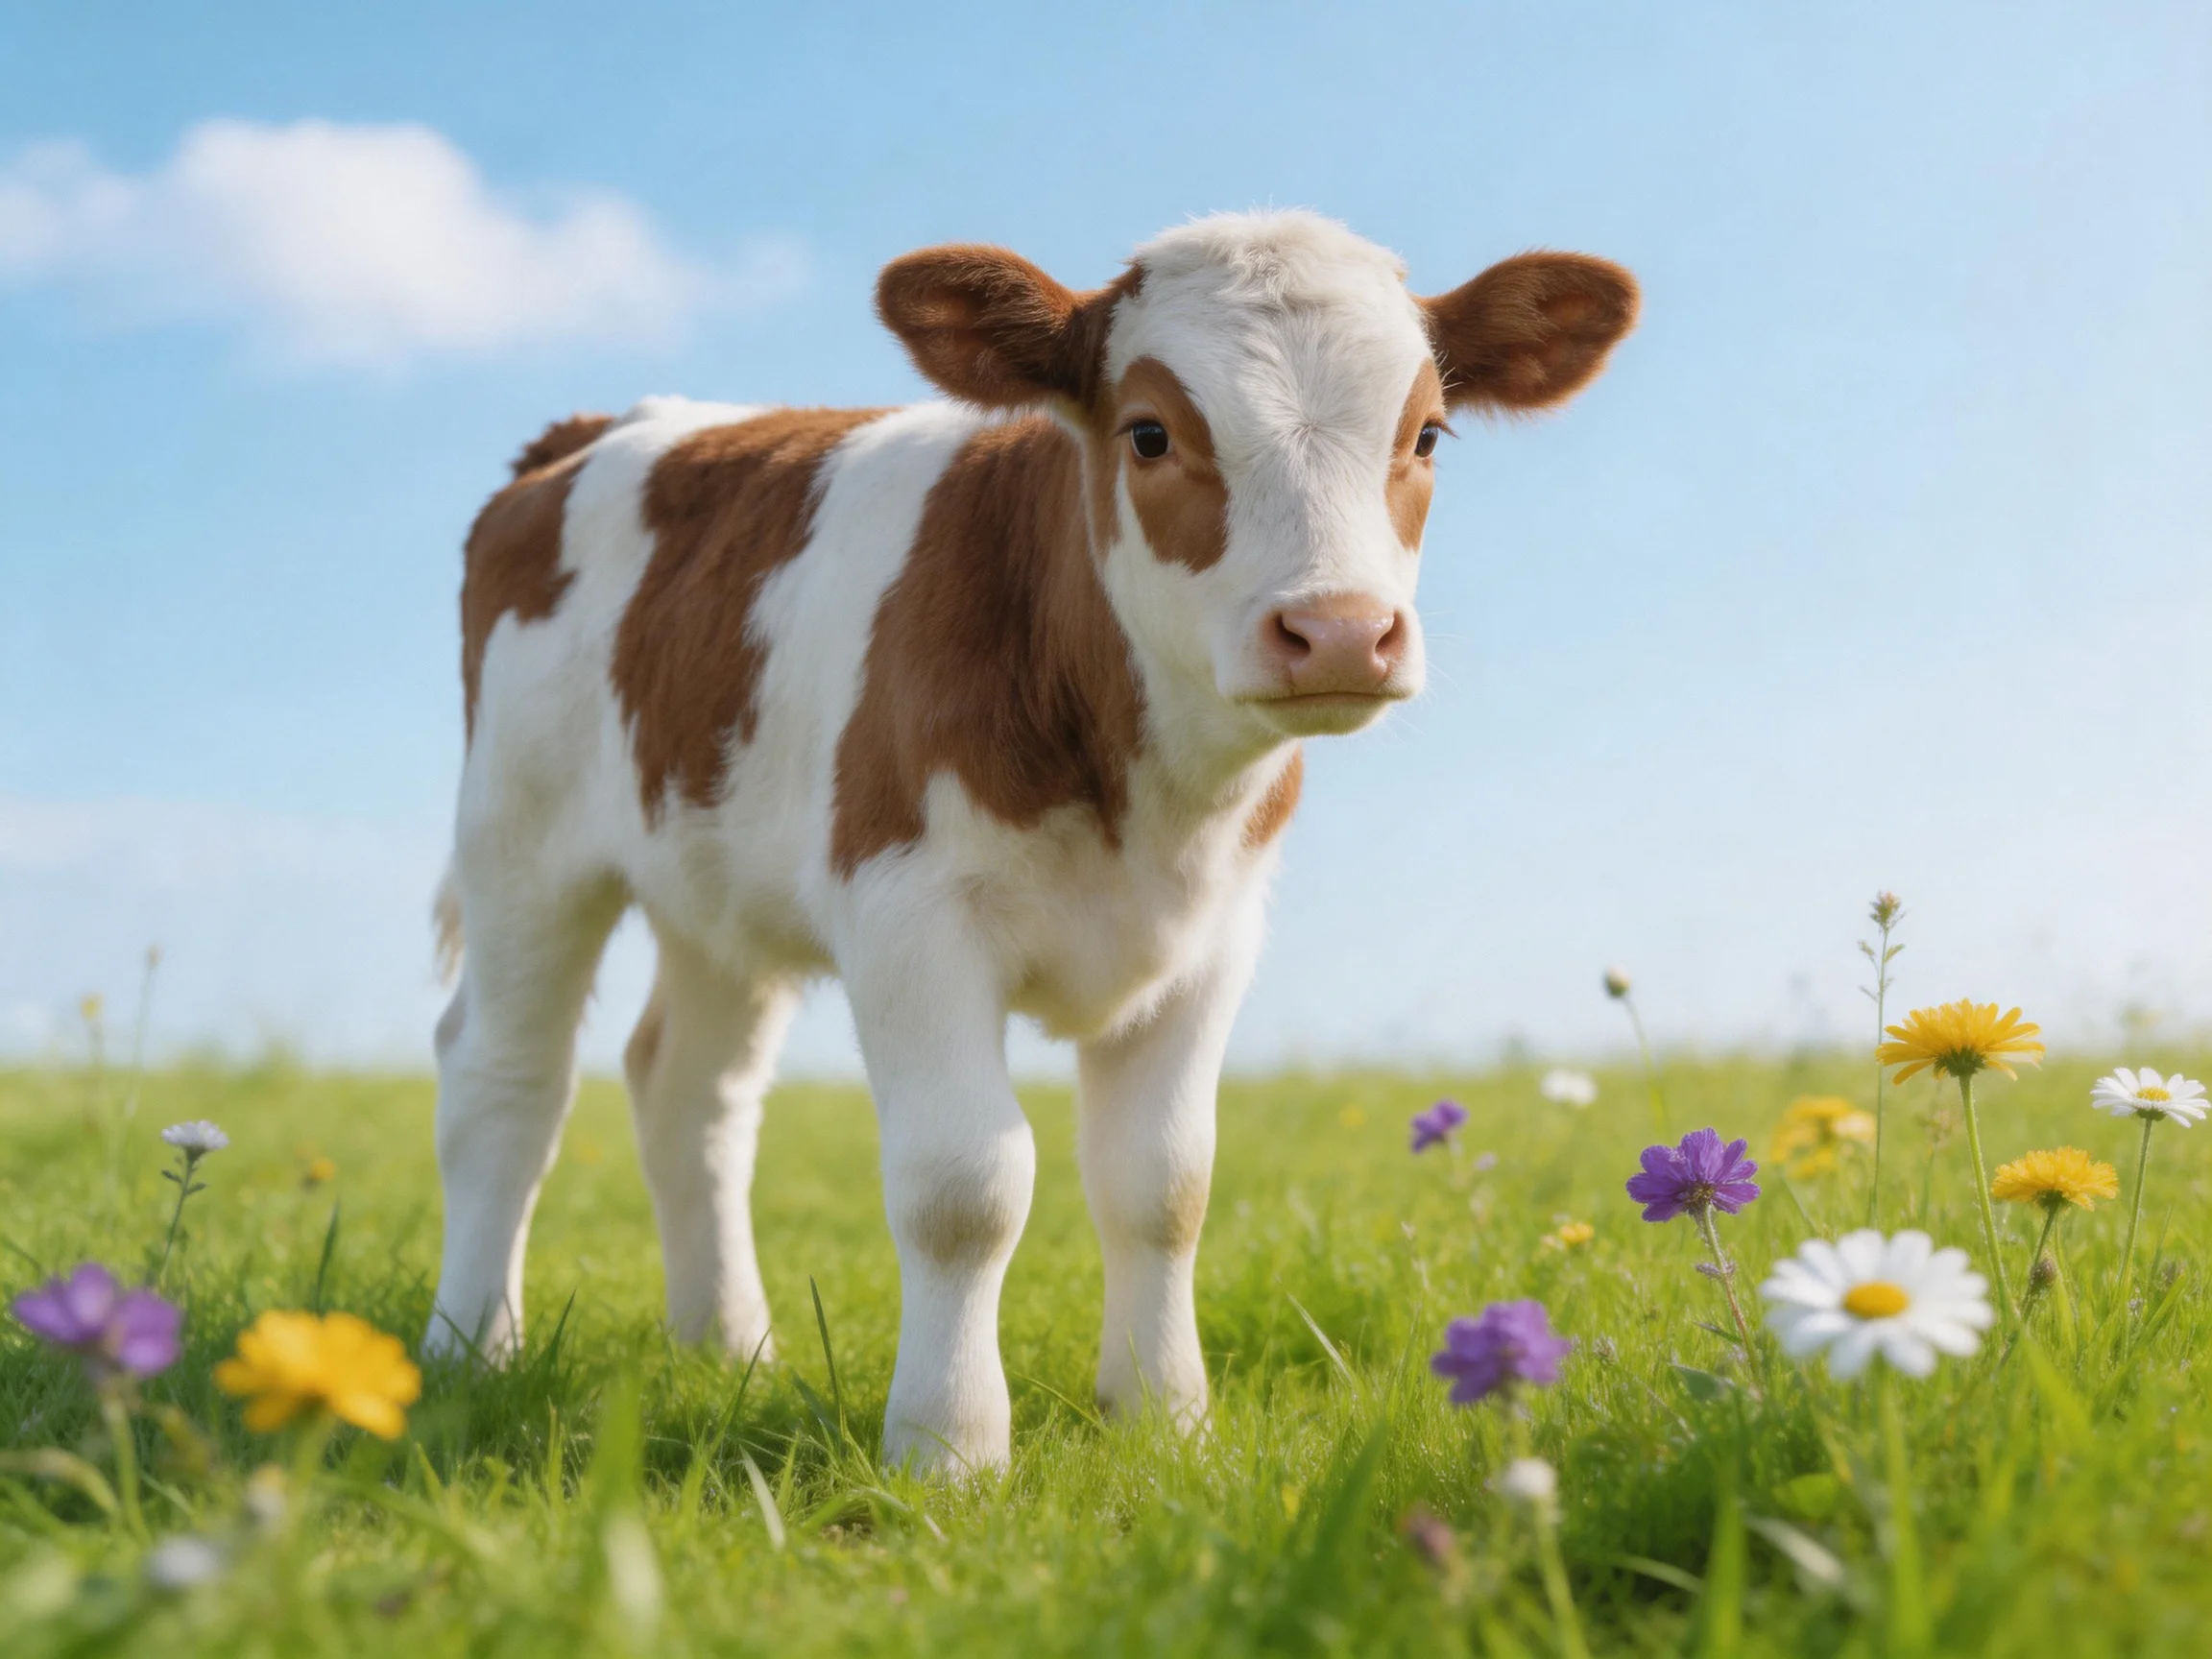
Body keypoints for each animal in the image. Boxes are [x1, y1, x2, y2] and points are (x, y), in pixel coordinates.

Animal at [428, 210, 1636, 1472]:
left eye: (1428, 434)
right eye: (1150, 433)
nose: (1341, 631)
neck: (1143, 799)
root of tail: (599, 428)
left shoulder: (1214, 937)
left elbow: (1162, 1183)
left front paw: (1165, 1419)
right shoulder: (907, 914)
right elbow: (966, 1187)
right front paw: (949, 1447)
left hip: (715, 889)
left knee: (689, 1092)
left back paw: (730, 1349)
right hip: (523, 843)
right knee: (502, 1080)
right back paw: (470, 1353)